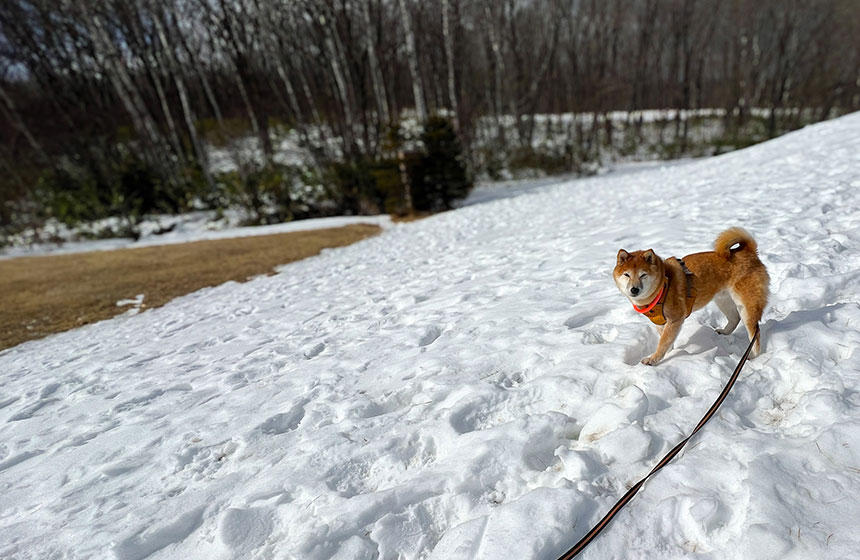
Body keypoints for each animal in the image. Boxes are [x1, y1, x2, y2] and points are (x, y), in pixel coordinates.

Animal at [616, 229, 768, 366]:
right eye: (627, 275)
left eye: (643, 275)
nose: (634, 289)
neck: (663, 285)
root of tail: (748, 252)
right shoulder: (660, 323)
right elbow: (666, 341)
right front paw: (669, 353)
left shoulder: (675, 320)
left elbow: (663, 342)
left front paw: (653, 359)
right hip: (722, 300)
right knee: (735, 318)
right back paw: (724, 332)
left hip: (747, 307)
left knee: (755, 332)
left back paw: (753, 356)